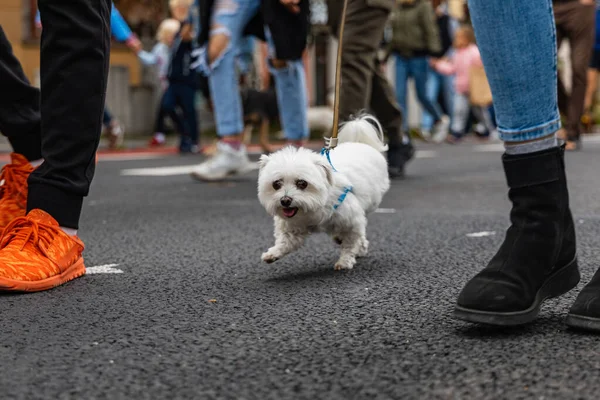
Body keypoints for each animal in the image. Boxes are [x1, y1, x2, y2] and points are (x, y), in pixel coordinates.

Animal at [256, 115, 390, 272]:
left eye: (302, 183)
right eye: (276, 184)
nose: (285, 200)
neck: (313, 208)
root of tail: (359, 142)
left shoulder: (350, 222)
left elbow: (350, 244)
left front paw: (345, 261)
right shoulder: (293, 228)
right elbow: (285, 242)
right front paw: (272, 254)